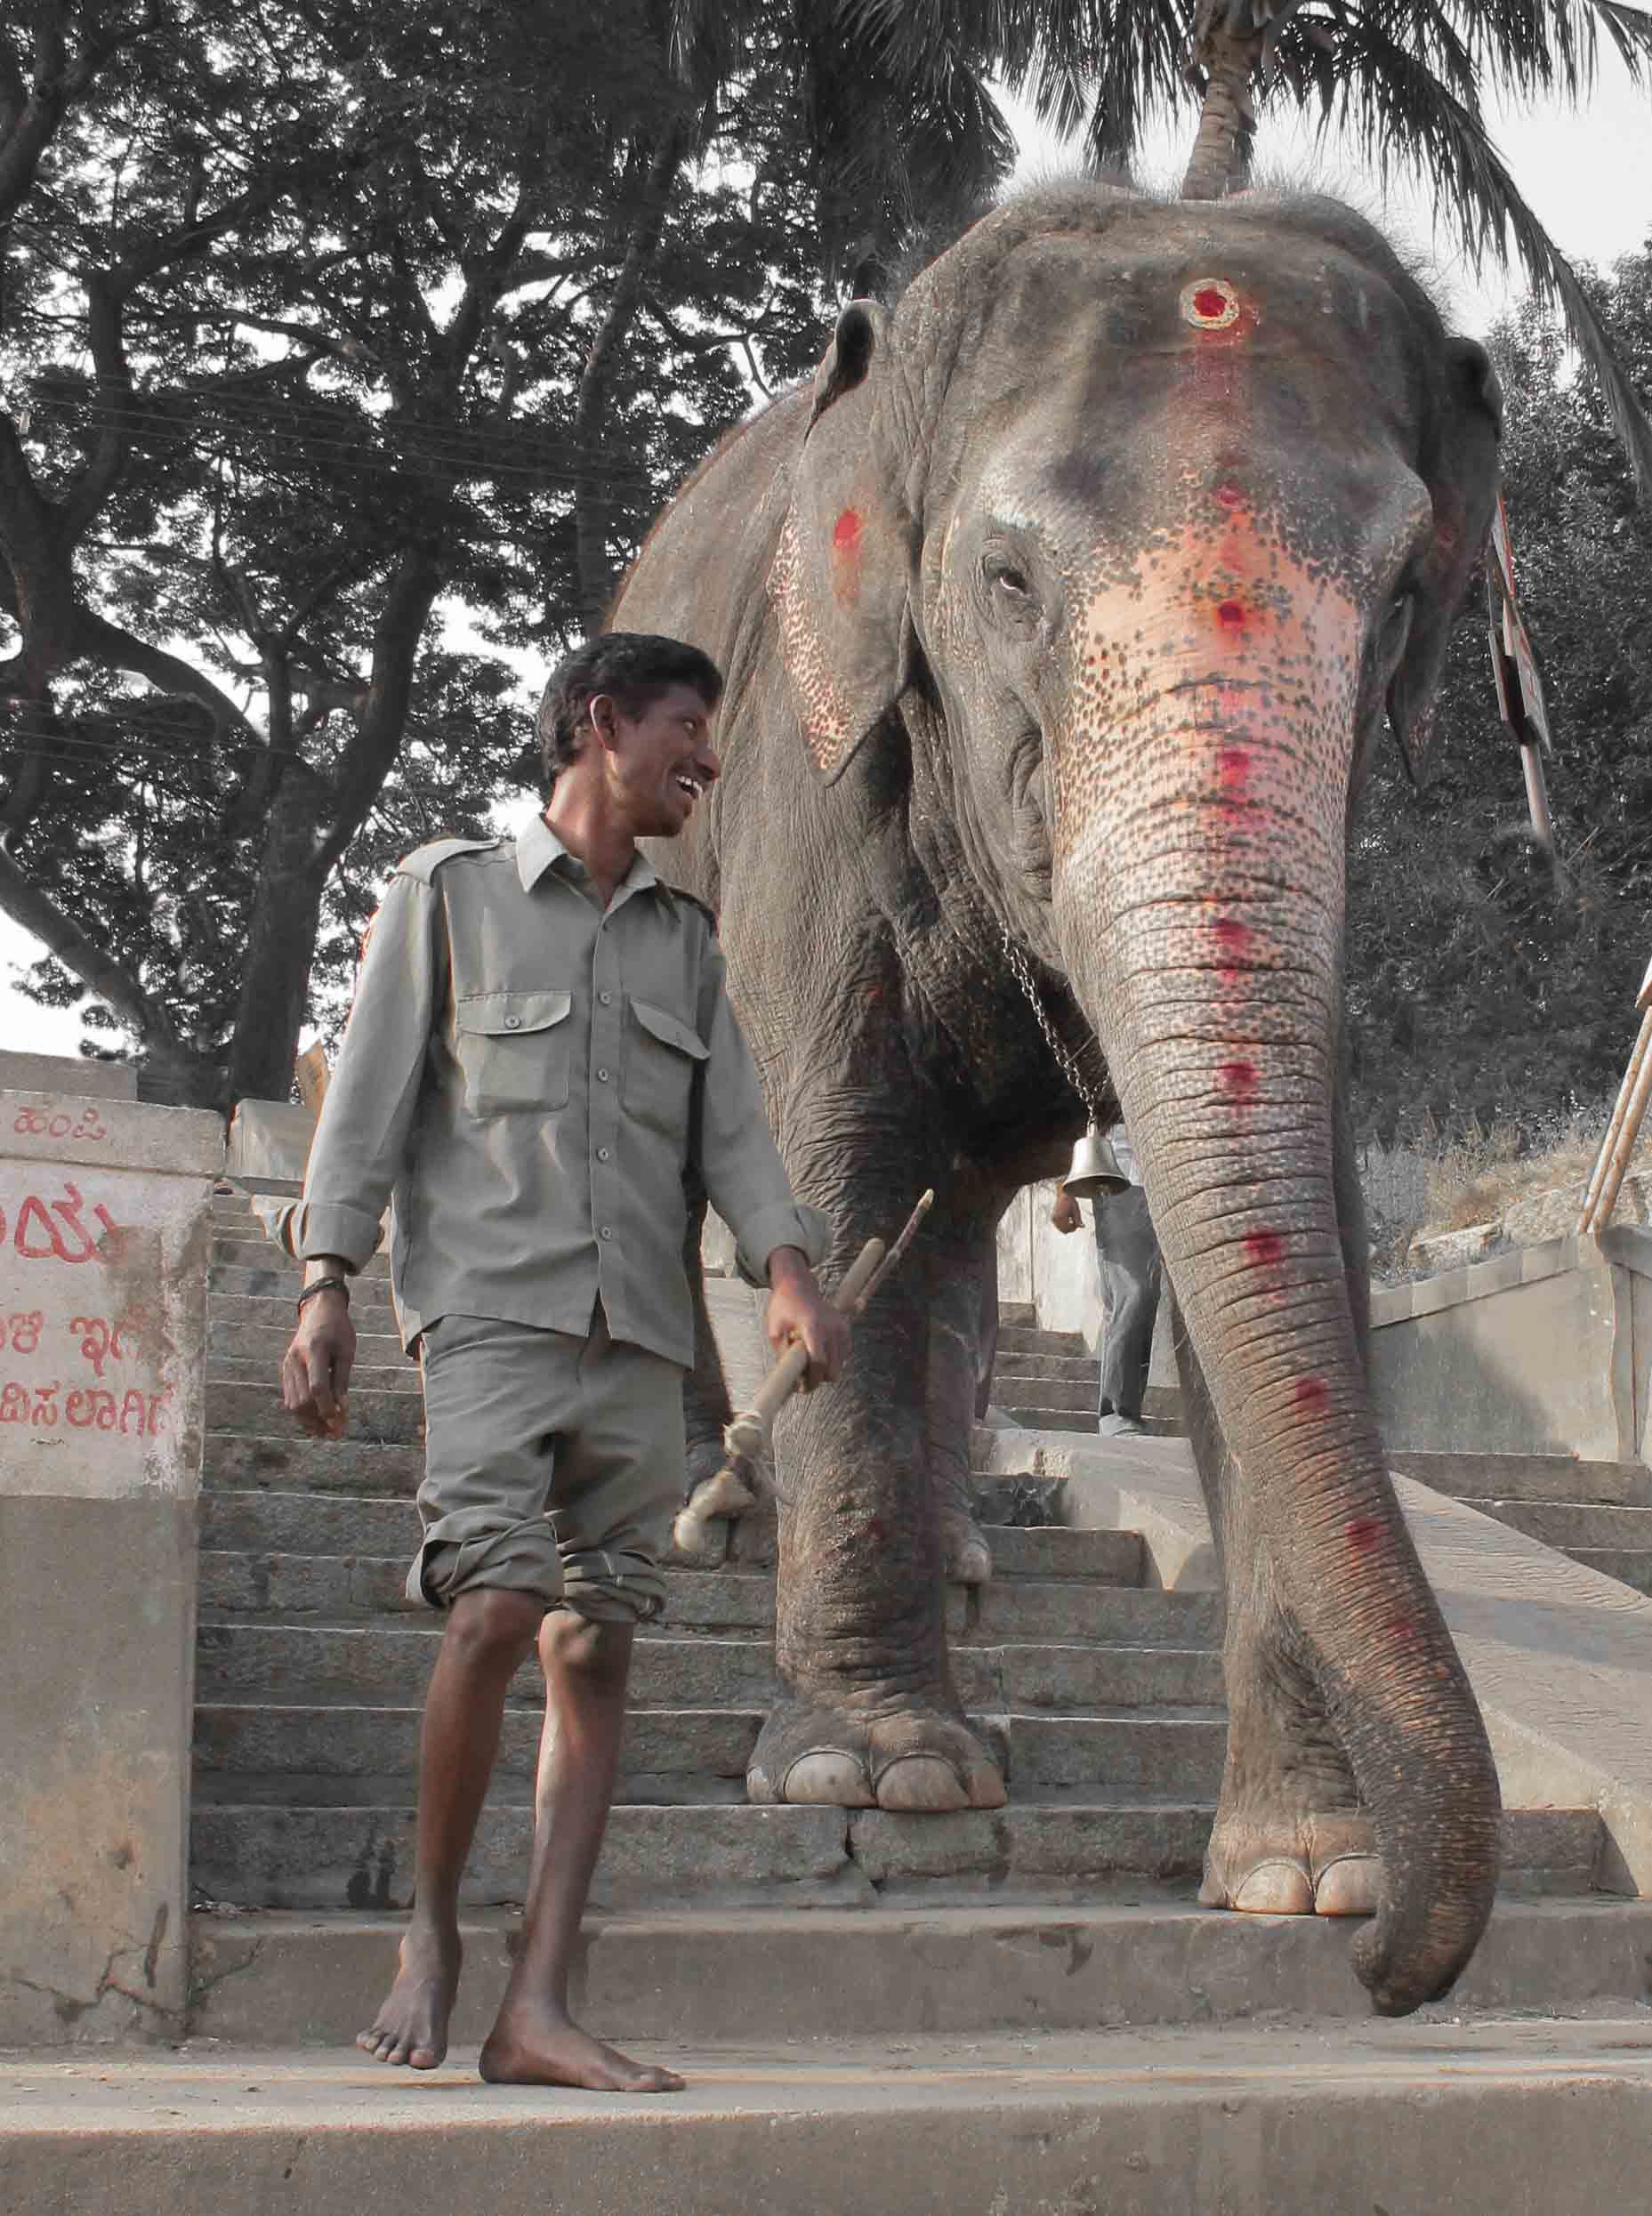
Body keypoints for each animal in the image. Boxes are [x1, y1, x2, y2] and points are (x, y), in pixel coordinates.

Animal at [613, 181, 1504, 2017]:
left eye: (1398, 596)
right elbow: (835, 1176)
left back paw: (950, 1561)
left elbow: (1283, 1221)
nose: (1388, 1971)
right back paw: (717, 1524)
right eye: (1008, 581)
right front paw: (873, 1781)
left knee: (955, 1230)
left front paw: (1305, 1872)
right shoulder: (813, 771)